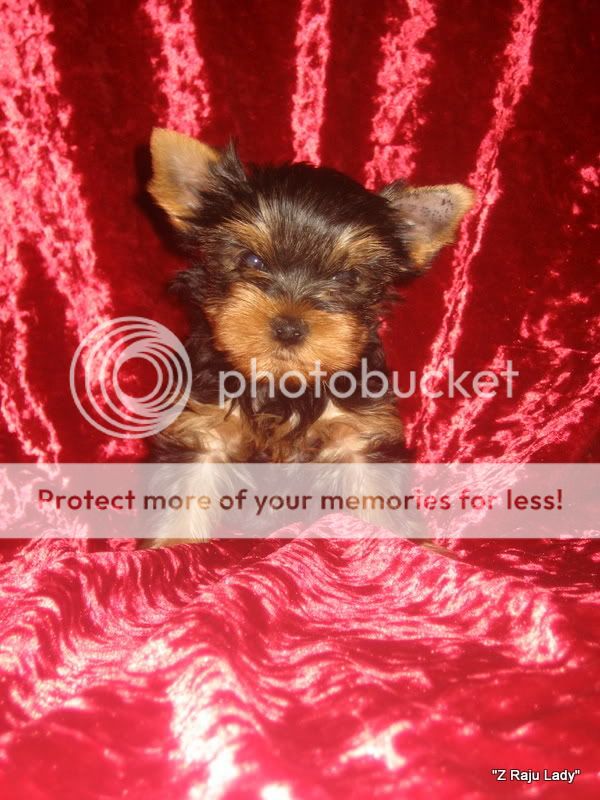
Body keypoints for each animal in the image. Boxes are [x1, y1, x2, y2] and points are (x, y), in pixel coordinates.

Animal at [146, 128, 473, 545]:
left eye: (347, 277)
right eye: (251, 260)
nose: (289, 327)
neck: (284, 386)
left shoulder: (360, 437)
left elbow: (380, 502)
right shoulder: (202, 429)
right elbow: (183, 497)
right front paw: (170, 547)